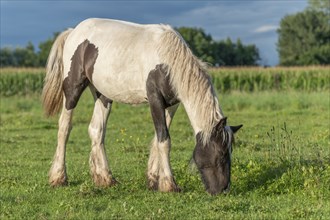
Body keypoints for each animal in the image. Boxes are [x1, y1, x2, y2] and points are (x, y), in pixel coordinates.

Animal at [42, 18, 242, 195]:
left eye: (230, 152)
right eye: (220, 154)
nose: (223, 190)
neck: (166, 61)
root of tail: (73, 31)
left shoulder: (172, 105)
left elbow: (158, 139)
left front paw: (153, 180)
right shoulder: (155, 100)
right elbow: (164, 140)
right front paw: (169, 185)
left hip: (103, 95)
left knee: (96, 130)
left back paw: (105, 179)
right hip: (72, 89)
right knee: (64, 127)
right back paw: (59, 177)